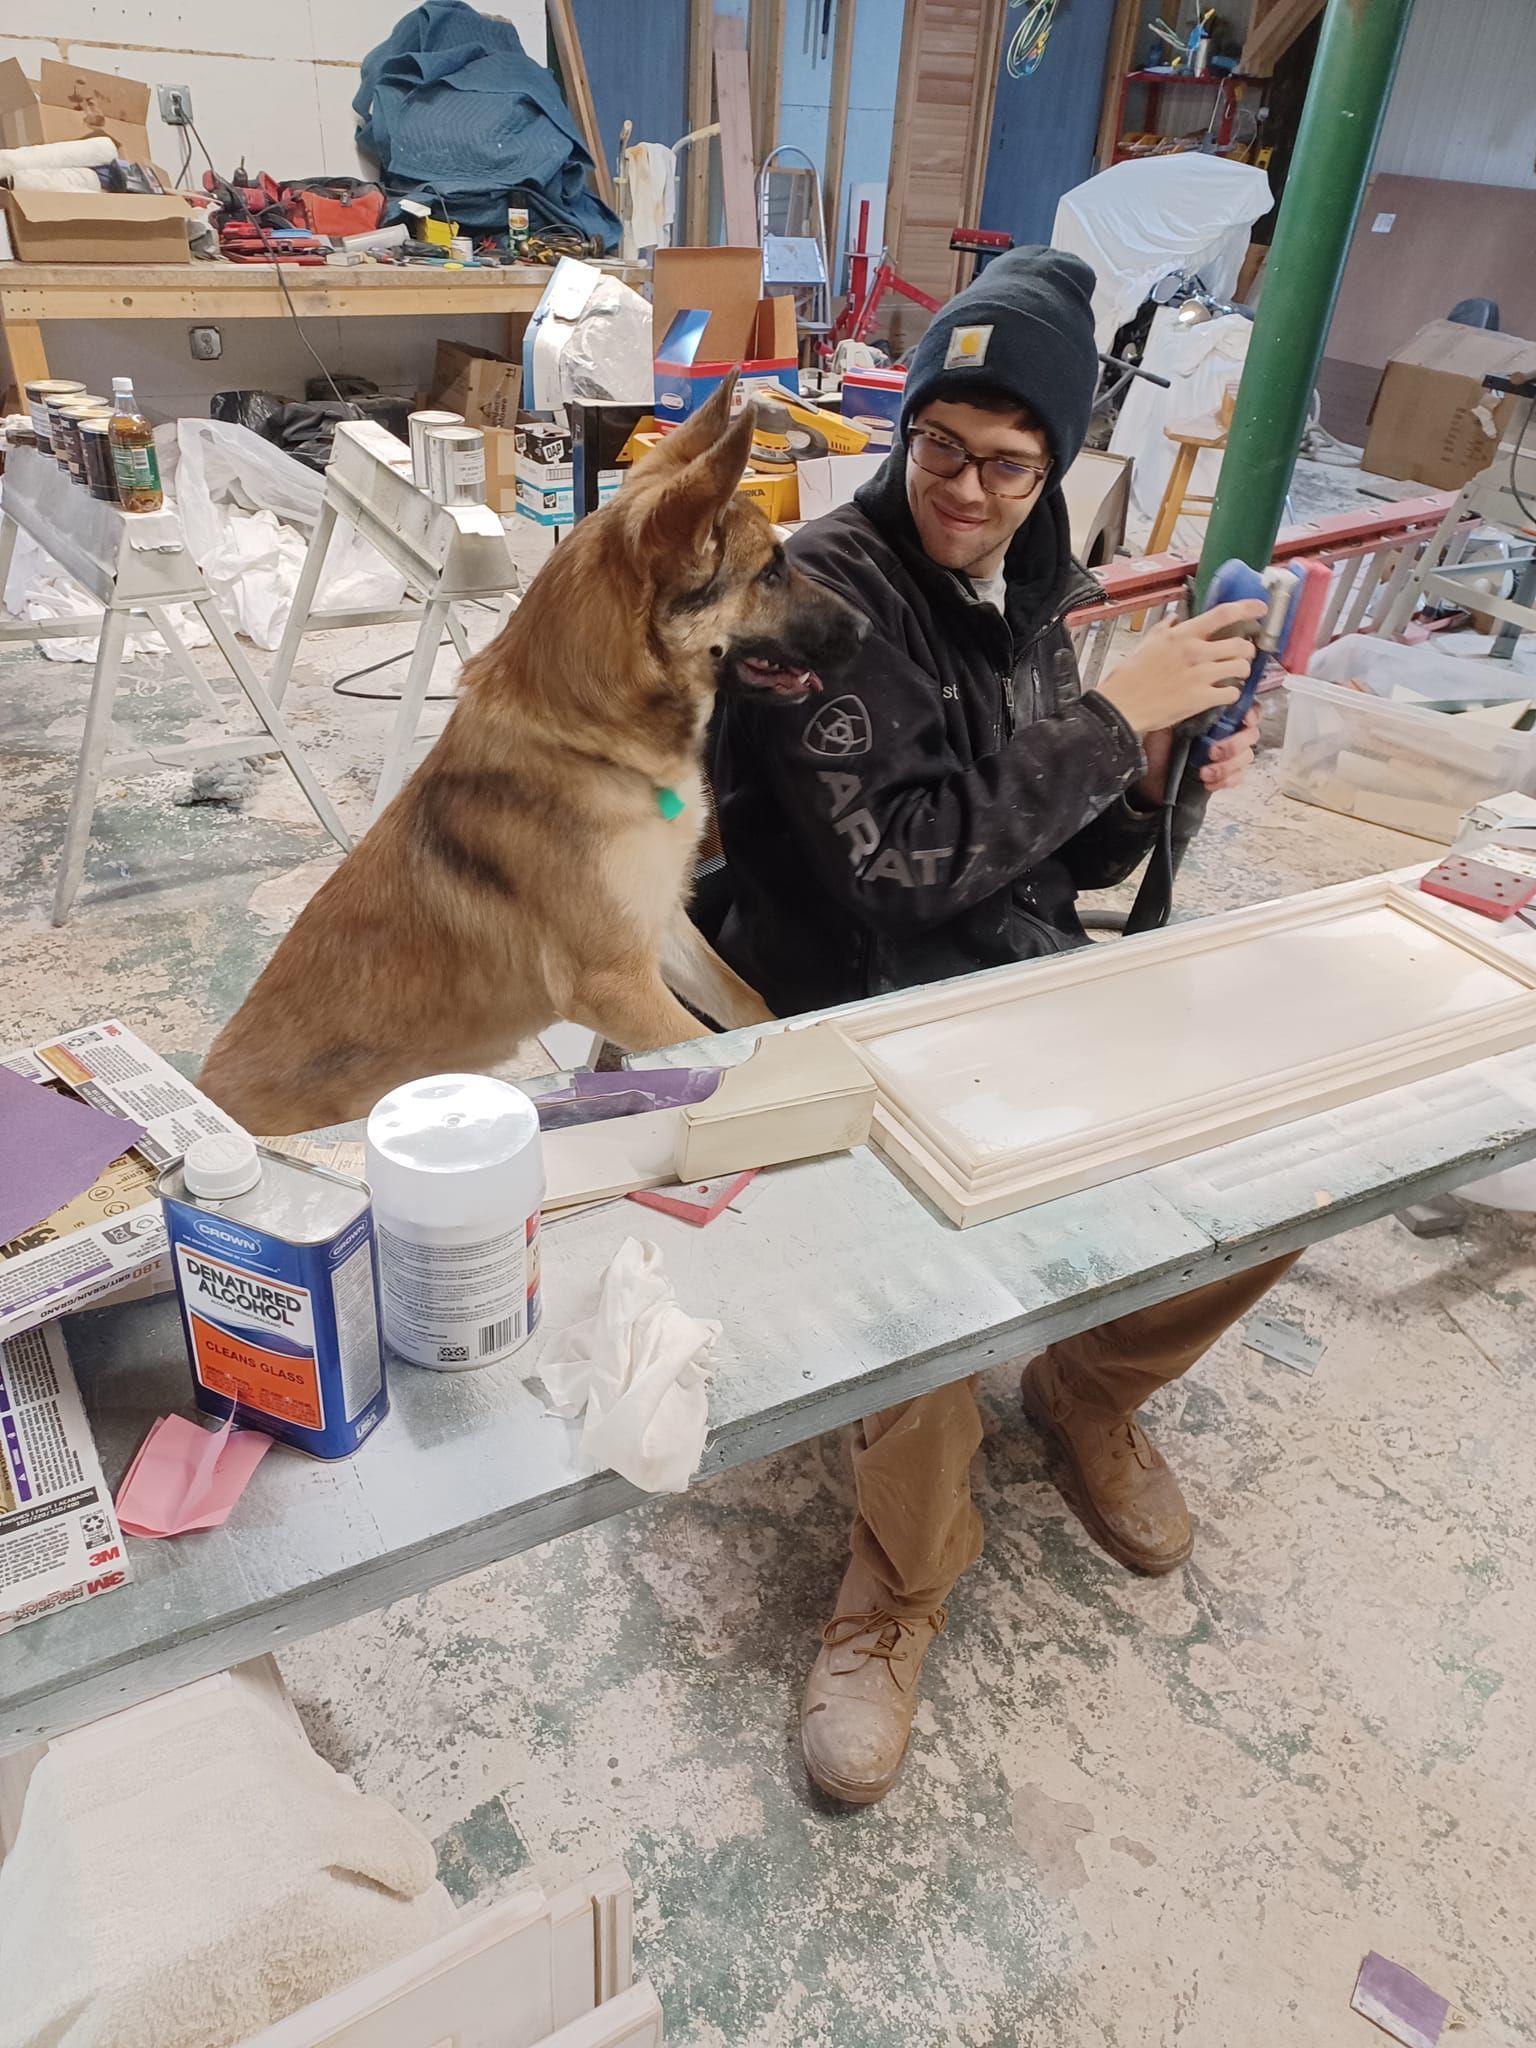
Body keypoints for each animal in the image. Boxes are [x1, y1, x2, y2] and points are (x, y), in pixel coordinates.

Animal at [197, 377, 867, 1135]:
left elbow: (752, 1010)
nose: (868, 628)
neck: (589, 743)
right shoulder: (615, 986)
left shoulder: (663, 931)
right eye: (772, 573)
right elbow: (702, 1046)